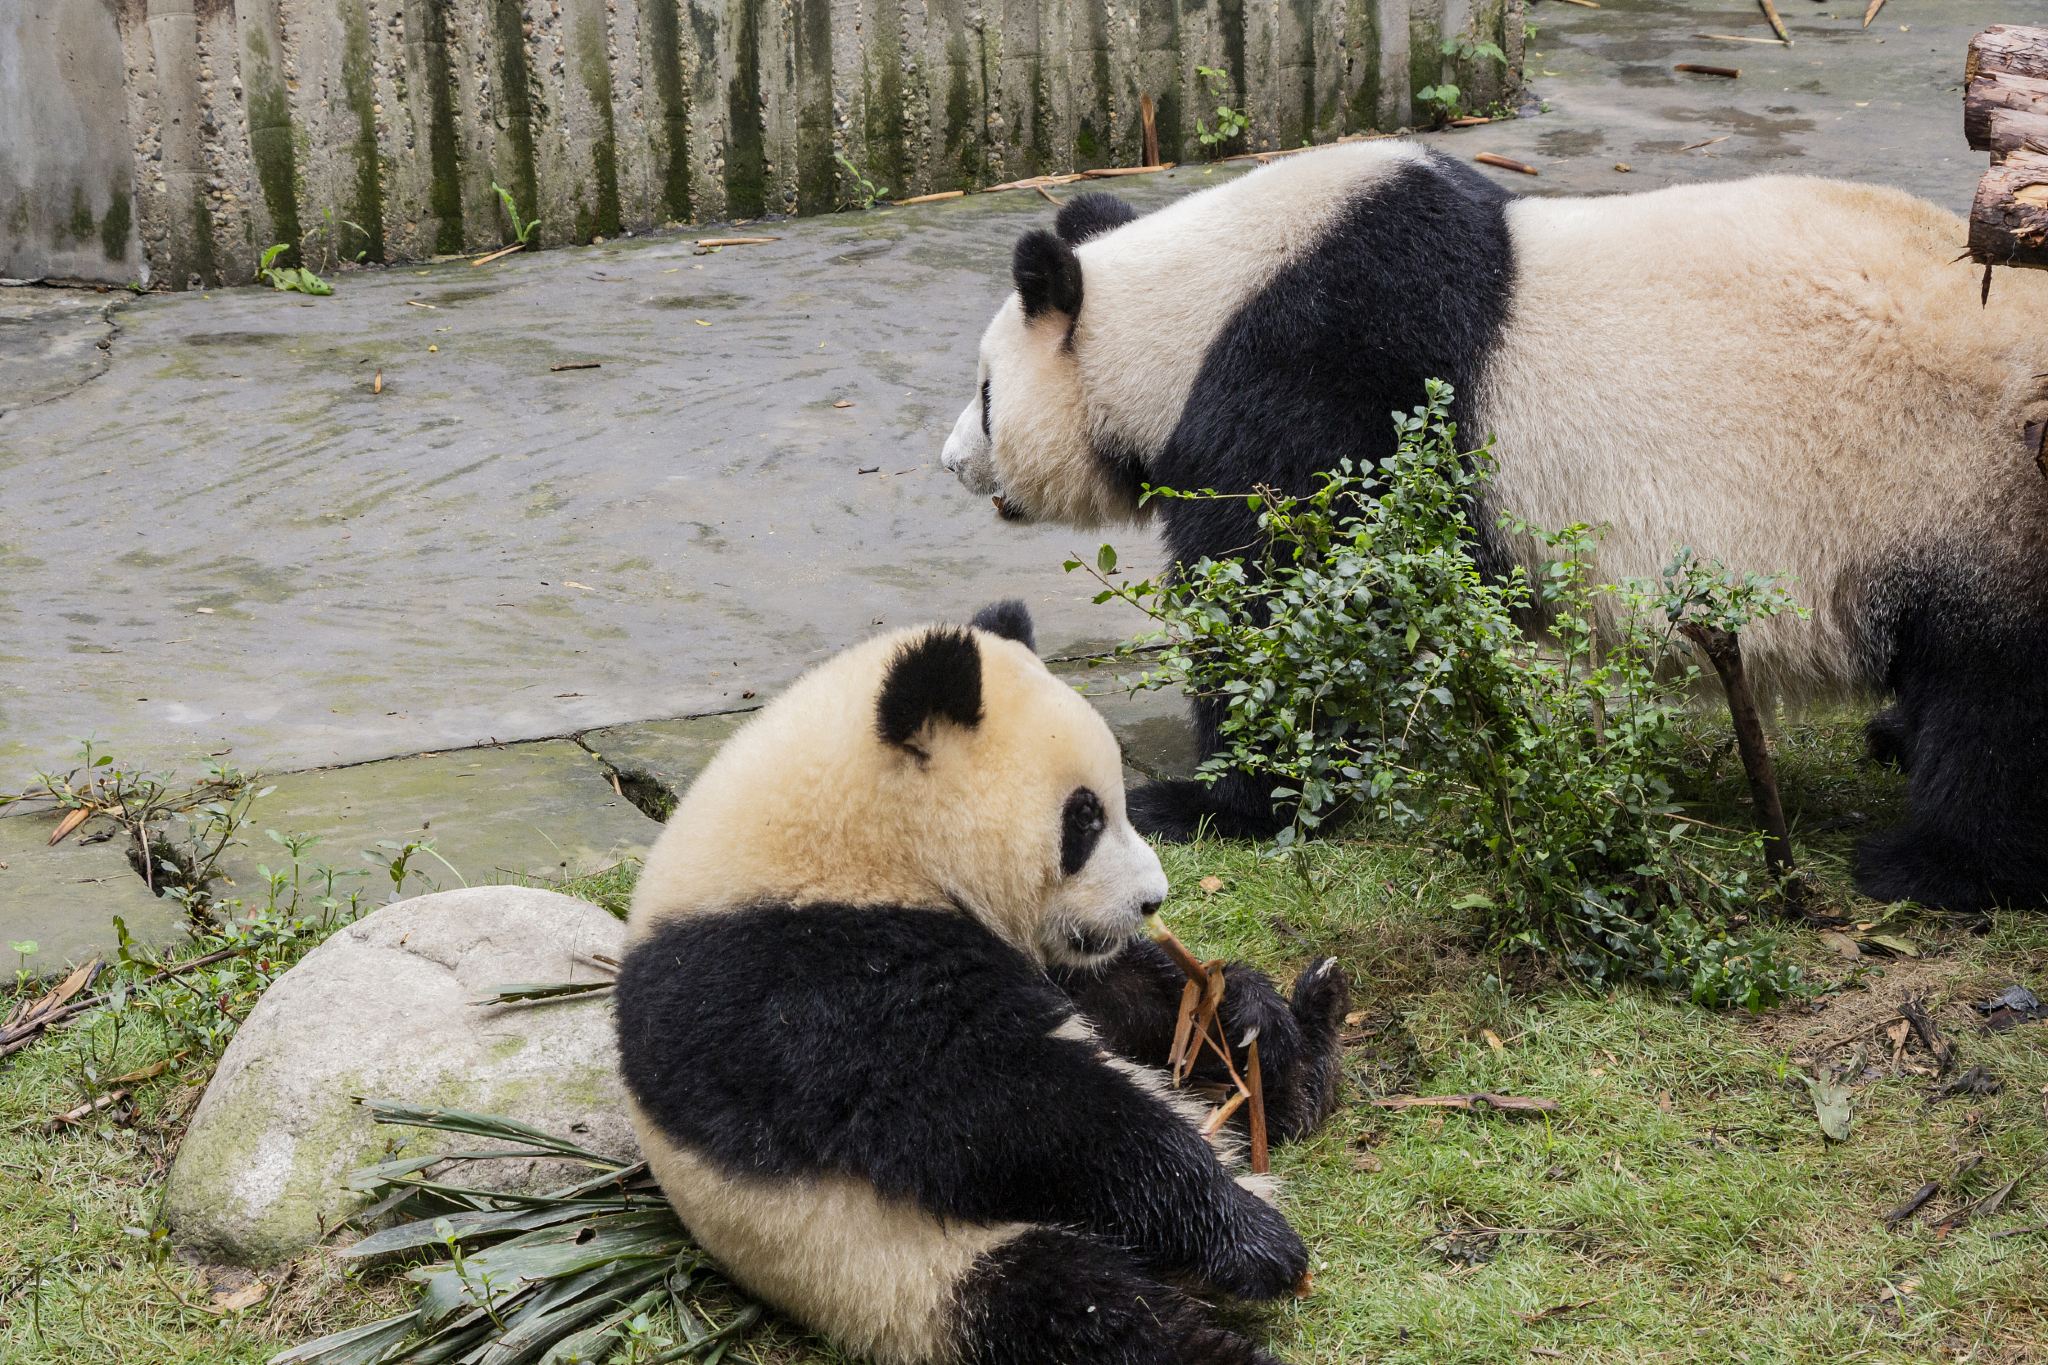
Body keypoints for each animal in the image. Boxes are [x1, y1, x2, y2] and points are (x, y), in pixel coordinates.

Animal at [613, 600, 1351, 1365]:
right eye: (1085, 816)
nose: (1151, 900)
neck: (852, 841)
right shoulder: (804, 982)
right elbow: (1004, 1106)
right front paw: (1253, 1235)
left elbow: (1106, 995)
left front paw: (1243, 1008)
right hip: (902, 1270)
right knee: (1082, 1309)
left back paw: (1310, 1036)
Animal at [938, 139, 2048, 913]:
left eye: (987, 395)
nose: (954, 464)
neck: (1193, 311)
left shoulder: (1321, 375)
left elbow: (1285, 600)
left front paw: (1212, 802)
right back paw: (1894, 742)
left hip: (1968, 483)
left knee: (2001, 696)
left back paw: (1935, 865)